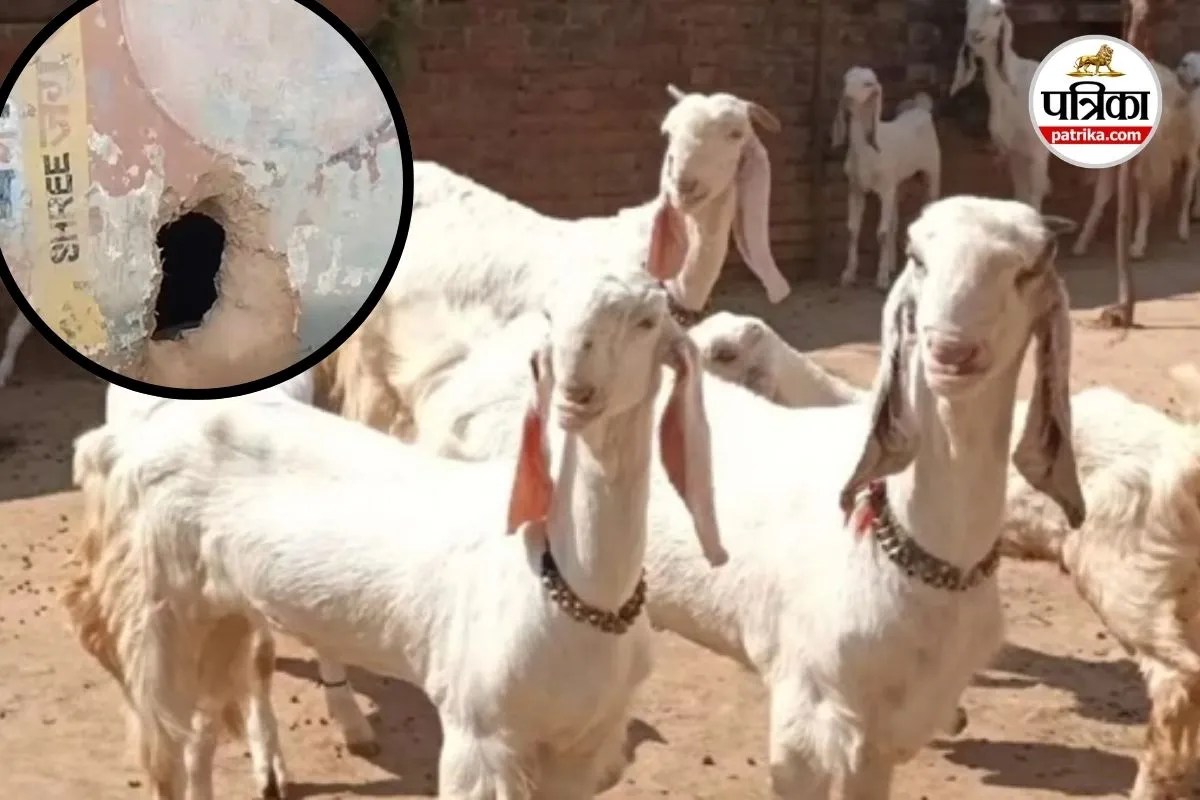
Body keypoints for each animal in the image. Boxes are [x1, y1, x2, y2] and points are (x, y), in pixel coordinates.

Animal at [832, 66, 941, 291]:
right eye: (846, 80)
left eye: (868, 84)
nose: (846, 99)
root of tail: (921, 108)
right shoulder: (856, 188)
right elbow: (853, 230)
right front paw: (848, 274)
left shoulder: (885, 189)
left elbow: (880, 233)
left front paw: (881, 279)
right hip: (896, 184)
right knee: (894, 222)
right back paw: (891, 266)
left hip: (932, 170)